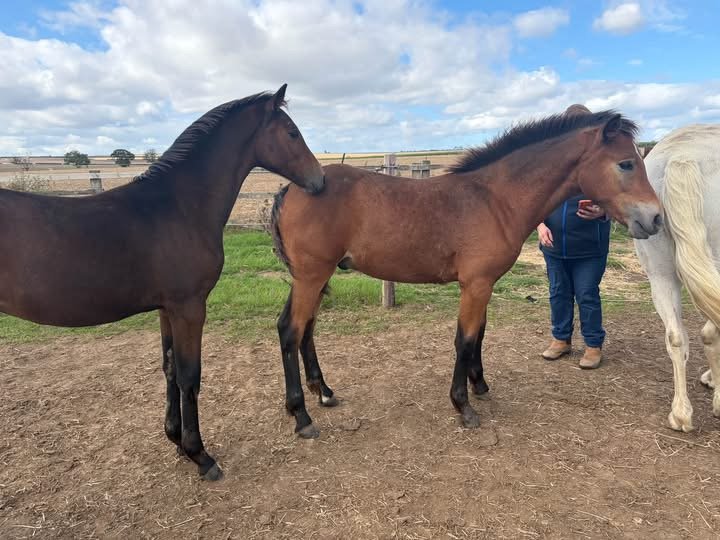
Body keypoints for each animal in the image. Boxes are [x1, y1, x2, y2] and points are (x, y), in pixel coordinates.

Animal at [0, 85, 324, 480]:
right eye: (292, 132)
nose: (319, 180)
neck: (179, 206)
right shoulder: (189, 307)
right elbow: (189, 375)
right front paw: (200, 455)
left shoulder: (166, 309)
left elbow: (169, 368)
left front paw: (175, 440)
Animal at [270, 110, 663, 438]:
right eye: (626, 164)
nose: (655, 218)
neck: (495, 200)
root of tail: (291, 188)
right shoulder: (475, 285)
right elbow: (465, 339)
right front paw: (463, 405)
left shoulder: (484, 285)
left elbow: (480, 335)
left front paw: (480, 385)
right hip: (312, 276)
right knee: (291, 330)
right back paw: (302, 416)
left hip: (316, 277)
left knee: (305, 330)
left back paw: (324, 393)